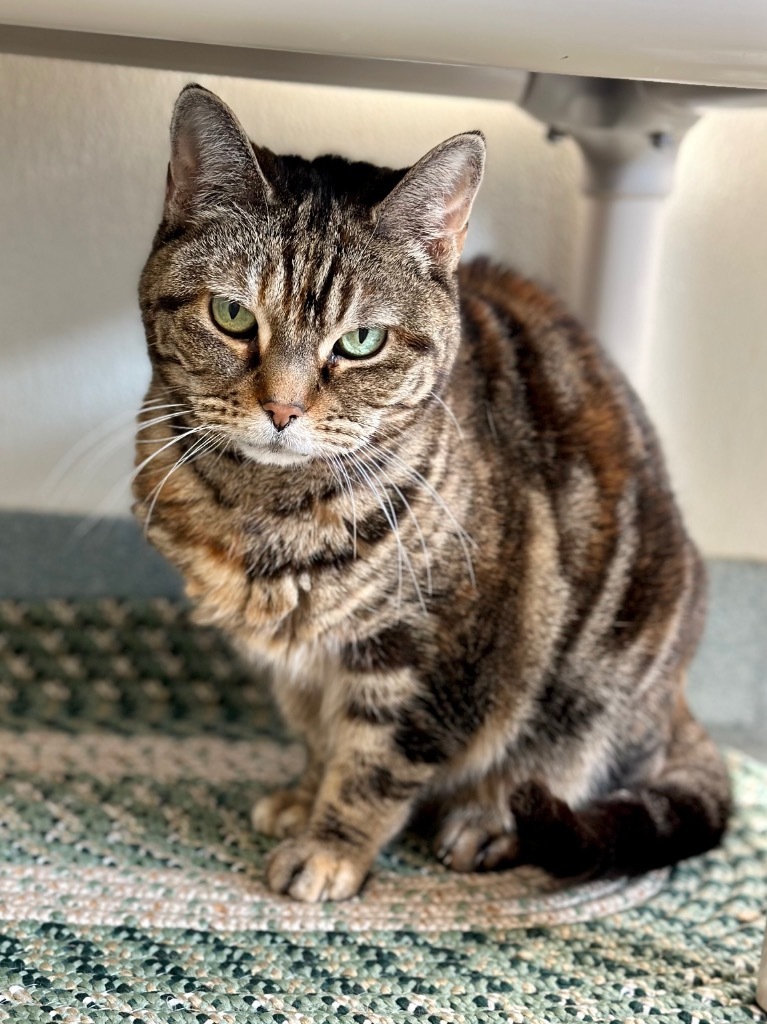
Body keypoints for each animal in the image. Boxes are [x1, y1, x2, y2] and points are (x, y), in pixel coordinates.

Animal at [133, 86, 729, 905]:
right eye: (231, 316)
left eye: (361, 342)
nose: (282, 408)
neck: (266, 509)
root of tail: (676, 703)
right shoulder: (298, 669)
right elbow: (321, 737)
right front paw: (304, 796)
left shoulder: (428, 651)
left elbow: (375, 764)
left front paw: (330, 848)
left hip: (601, 680)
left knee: (562, 769)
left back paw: (487, 819)